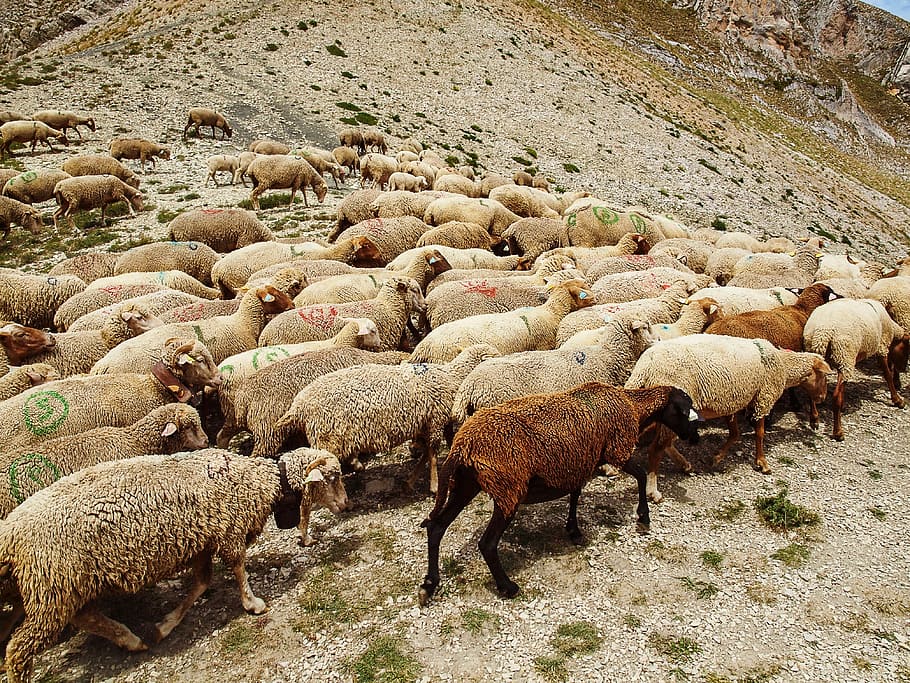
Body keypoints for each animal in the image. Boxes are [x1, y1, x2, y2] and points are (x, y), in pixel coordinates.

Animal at [0, 447, 347, 682]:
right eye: (333, 477)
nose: (346, 504)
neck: (256, 482)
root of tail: (11, 533)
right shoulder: (229, 531)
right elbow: (237, 568)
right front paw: (253, 603)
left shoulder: (202, 541)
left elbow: (201, 583)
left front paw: (164, 626)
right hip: (51, 585)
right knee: (19, 649)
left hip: (64, 586)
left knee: (85, 617)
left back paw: (131, 640)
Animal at [276, 344, 500, 492]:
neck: (451, 376)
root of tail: (298, 406)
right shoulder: (435, 420)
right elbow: (433, 453)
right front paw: (435, 485)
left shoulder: (426, 422)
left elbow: (430, 450)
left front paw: (412, 481)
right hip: (326, 437)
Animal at [418, 383, 699, 603]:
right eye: (685, 412)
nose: (694, 438)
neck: (633, 406)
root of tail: (461, 446)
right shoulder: (615, 449)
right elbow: (640, 475)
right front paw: (643, 516)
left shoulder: (582, 461)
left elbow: (575, 494)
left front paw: (573, 529)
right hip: (508, 487)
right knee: (486, 544)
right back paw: (508, 587)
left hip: (466, 484)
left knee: (436, 527)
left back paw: (430, 584)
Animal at [625, 335, 832, 482]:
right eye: (823, 376)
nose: (822, 398)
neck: (783, 365)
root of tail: (645, 366)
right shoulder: (763, 397)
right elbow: (760, 433)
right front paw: (762, 462)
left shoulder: (731, 401)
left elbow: (735, 434)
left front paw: (717, 457)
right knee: (657, 446)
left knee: (659, 440)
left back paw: (683, 465)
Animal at [803, 299, 909, 441]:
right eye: (907, 349)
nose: (903, 369)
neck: (892, 330)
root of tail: (822, 332)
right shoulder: (881, 347)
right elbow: (888, 375)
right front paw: (898, 400)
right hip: (844, 354)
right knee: (835, 396)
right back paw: (838, 432)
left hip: (821, 357)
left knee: (812, 389)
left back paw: (814, 419)